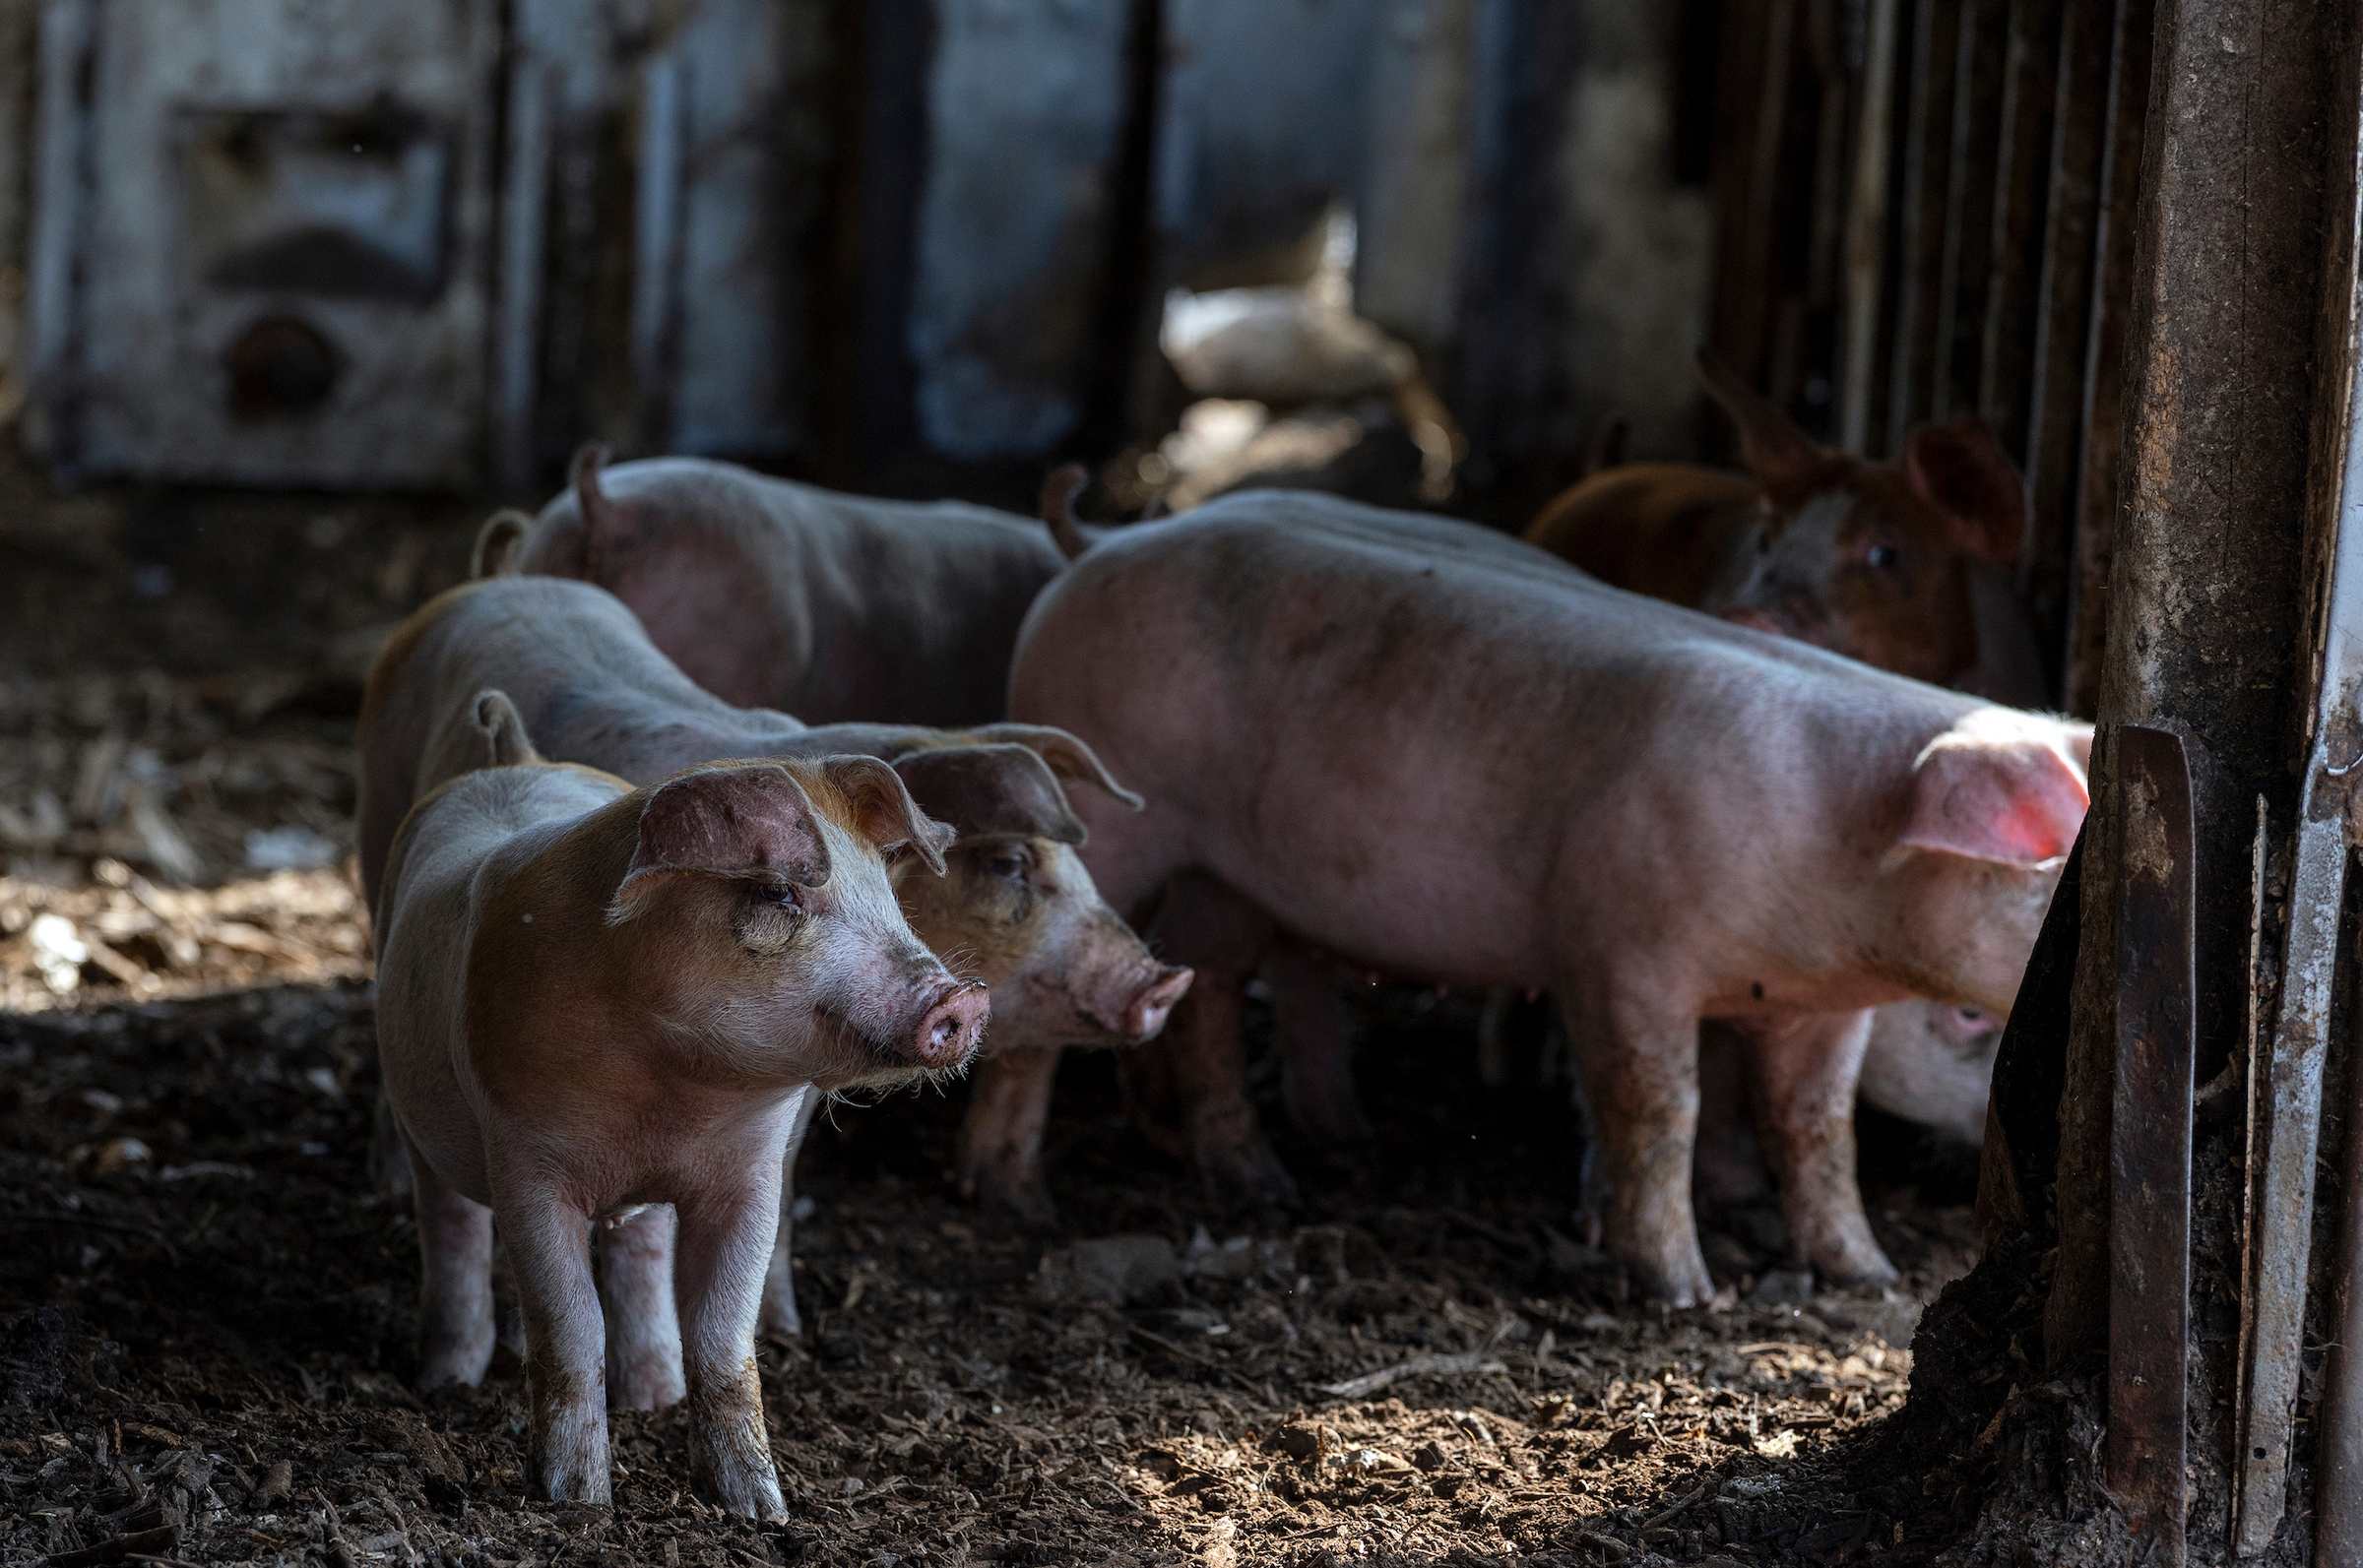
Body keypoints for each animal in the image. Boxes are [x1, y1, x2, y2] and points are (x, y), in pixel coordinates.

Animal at [357, 565, 1189, 1376]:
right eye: (1011, 862)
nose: (1165, 981)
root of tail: (486, 582)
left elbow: (779, 1198)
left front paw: (783, 1329)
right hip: (376, 843)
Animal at [375, 688, 987, 1514]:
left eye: (890, 896)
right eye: (778, 892)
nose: (962, 997)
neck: (670, 1090)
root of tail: (514, 756)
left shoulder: (751, 1174)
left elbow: (725, 1334)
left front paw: (760, 1510)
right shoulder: (525, 1162)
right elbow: (570, 1327)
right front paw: (579, 1503)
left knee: (642, 1251)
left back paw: (654, 1396)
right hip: (416, 1117)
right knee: (452, 1228)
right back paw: (445, 1383)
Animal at [1005, 491, 2088, 1303]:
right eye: (1964, 1018)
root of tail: (1101, 544)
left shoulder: (1825, 1006)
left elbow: (1818, 1127)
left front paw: (1868, 1276)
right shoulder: (1618, 948)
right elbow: (1657, 1105)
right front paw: (1682, 1290)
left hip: (1229, 876)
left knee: (1211, 982)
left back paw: (1262, 1177)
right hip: (1112, 807)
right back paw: (1015, 1196)